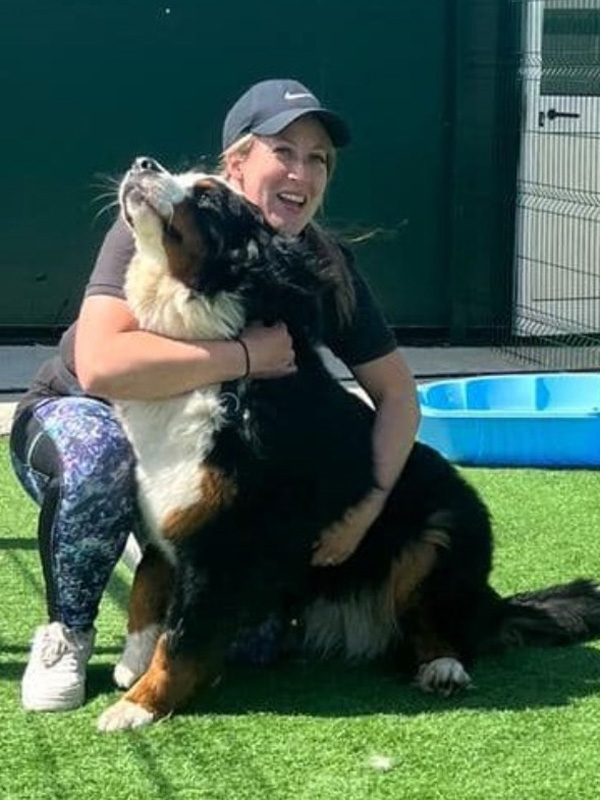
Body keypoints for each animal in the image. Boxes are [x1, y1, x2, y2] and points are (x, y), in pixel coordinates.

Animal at [96, 155, 600, 732]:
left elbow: (181, 641)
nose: (143, 162)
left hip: (440, 533)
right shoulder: (166, 515)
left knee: (443, 626)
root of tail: (491, 601)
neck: (209, 355)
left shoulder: (223, 546)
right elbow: (144, 592)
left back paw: (443, 667)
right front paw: (131, 664)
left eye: (206, 196)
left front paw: (138, 706)